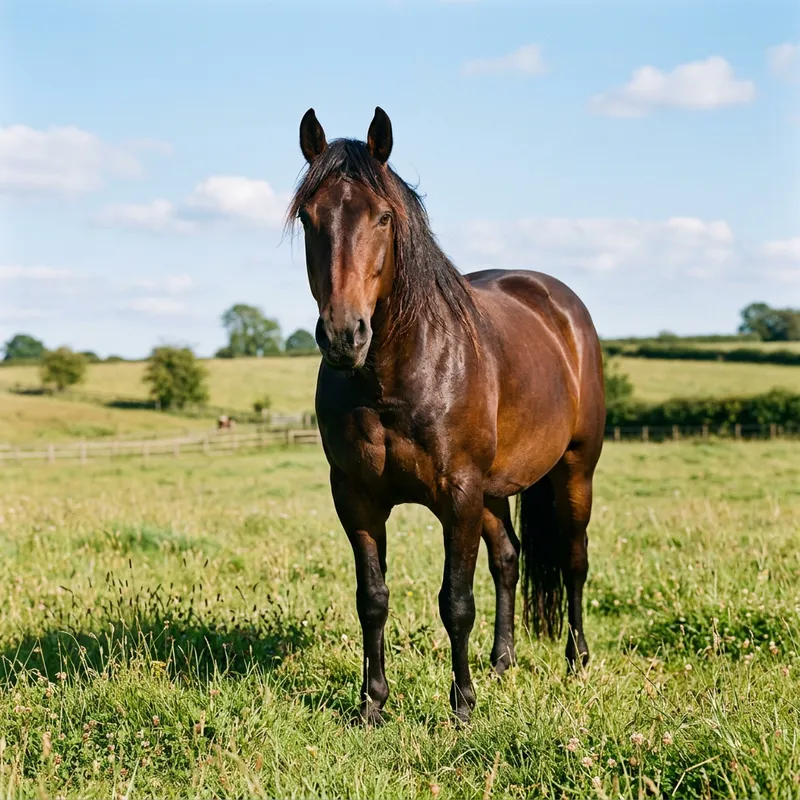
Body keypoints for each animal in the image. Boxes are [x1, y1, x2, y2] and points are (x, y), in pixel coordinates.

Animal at [287, 107, 605, 724]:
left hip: (574, 469)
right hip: (494, 490)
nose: (343, 335)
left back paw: (576, 660)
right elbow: (372, 600)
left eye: (384, 217)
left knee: (574, 559)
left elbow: (455, 601)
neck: (394, 377)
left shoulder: (457, 493)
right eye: (310, 218)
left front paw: (461, 709)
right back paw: (502, 662)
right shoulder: (357, 498)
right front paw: (372, 704)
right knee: (508, 559)